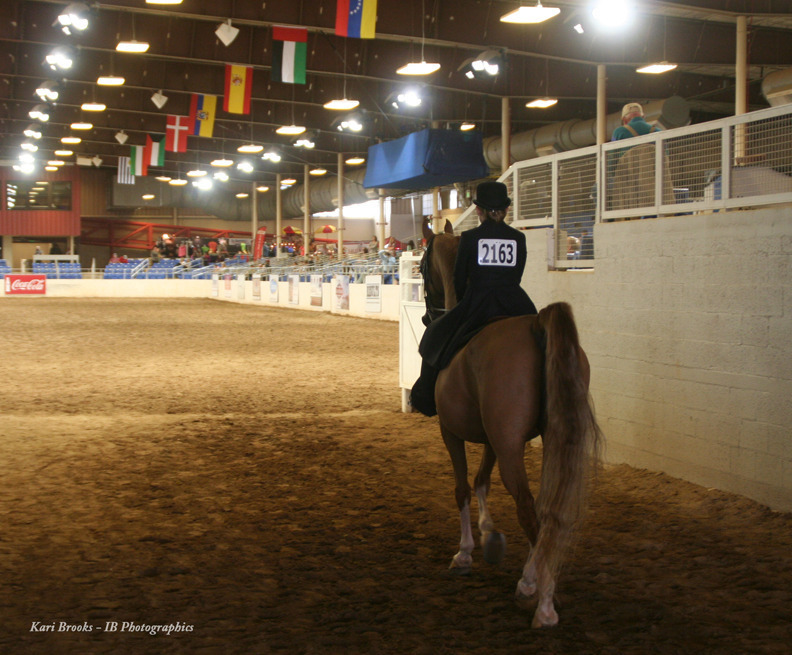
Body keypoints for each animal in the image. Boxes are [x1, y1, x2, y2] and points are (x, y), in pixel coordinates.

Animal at [418, 230, 602, 628]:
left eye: (422, 266)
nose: (427, 314)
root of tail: (536, 326)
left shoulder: (451, 430)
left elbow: (462, 488)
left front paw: (465, 553)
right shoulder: (494, 438)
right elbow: (481, 481)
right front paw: (489, 534)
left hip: (509, 446)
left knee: (529, 510)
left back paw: (540, 598)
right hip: (547, 439)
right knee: (547, 511)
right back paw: (533, 581)